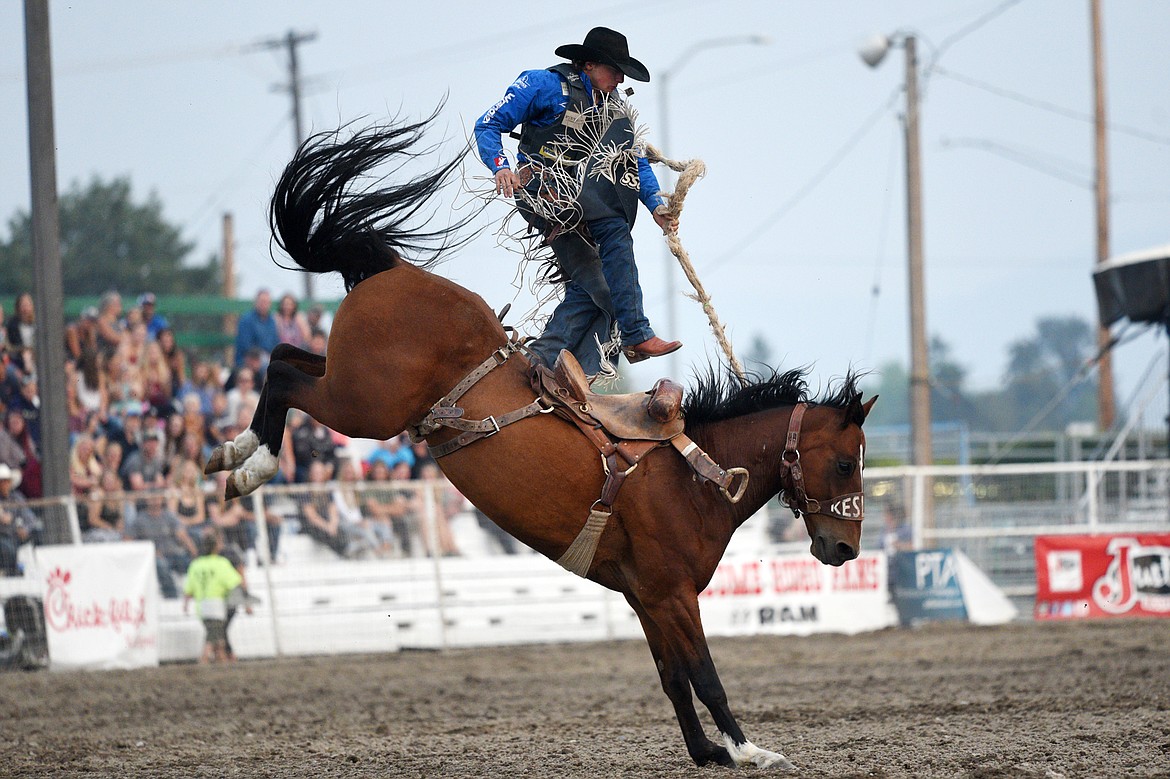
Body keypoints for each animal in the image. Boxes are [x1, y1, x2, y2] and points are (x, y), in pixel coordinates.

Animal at [210, 119, 875, 762]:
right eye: (846, 464)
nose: (844, 549)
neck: (697, 472)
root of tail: (394, 273)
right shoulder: (673, 593)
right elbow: (705, 676)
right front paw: (748, 750)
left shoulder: (645, 597)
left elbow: (673, 679)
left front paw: (707, 750)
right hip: (364, 405)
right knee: (285, 377)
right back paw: (250, 464)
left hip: (347, 379)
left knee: (282, 355)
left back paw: (235, 452)